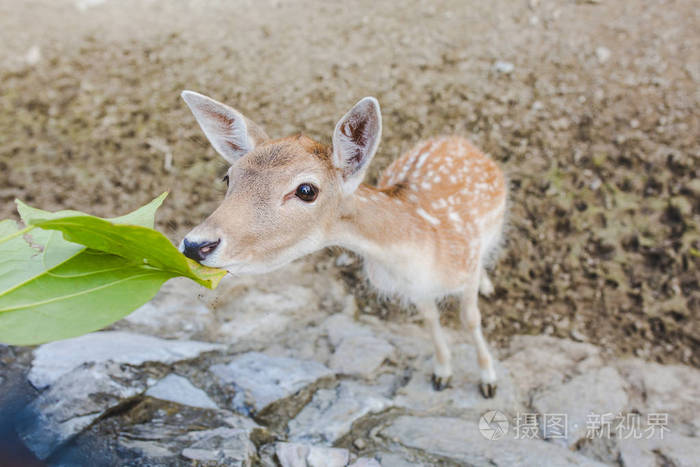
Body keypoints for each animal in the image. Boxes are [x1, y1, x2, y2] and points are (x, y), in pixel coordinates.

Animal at [179, 91, 507, 398]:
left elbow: (470, 319)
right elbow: (430, 319)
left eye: (306, 190)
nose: (196, 244)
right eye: (228, 177)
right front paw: (442, 374)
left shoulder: (465, 264)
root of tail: (456, 139)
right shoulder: (415, 290)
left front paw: (488, 380)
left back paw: (488, 284)